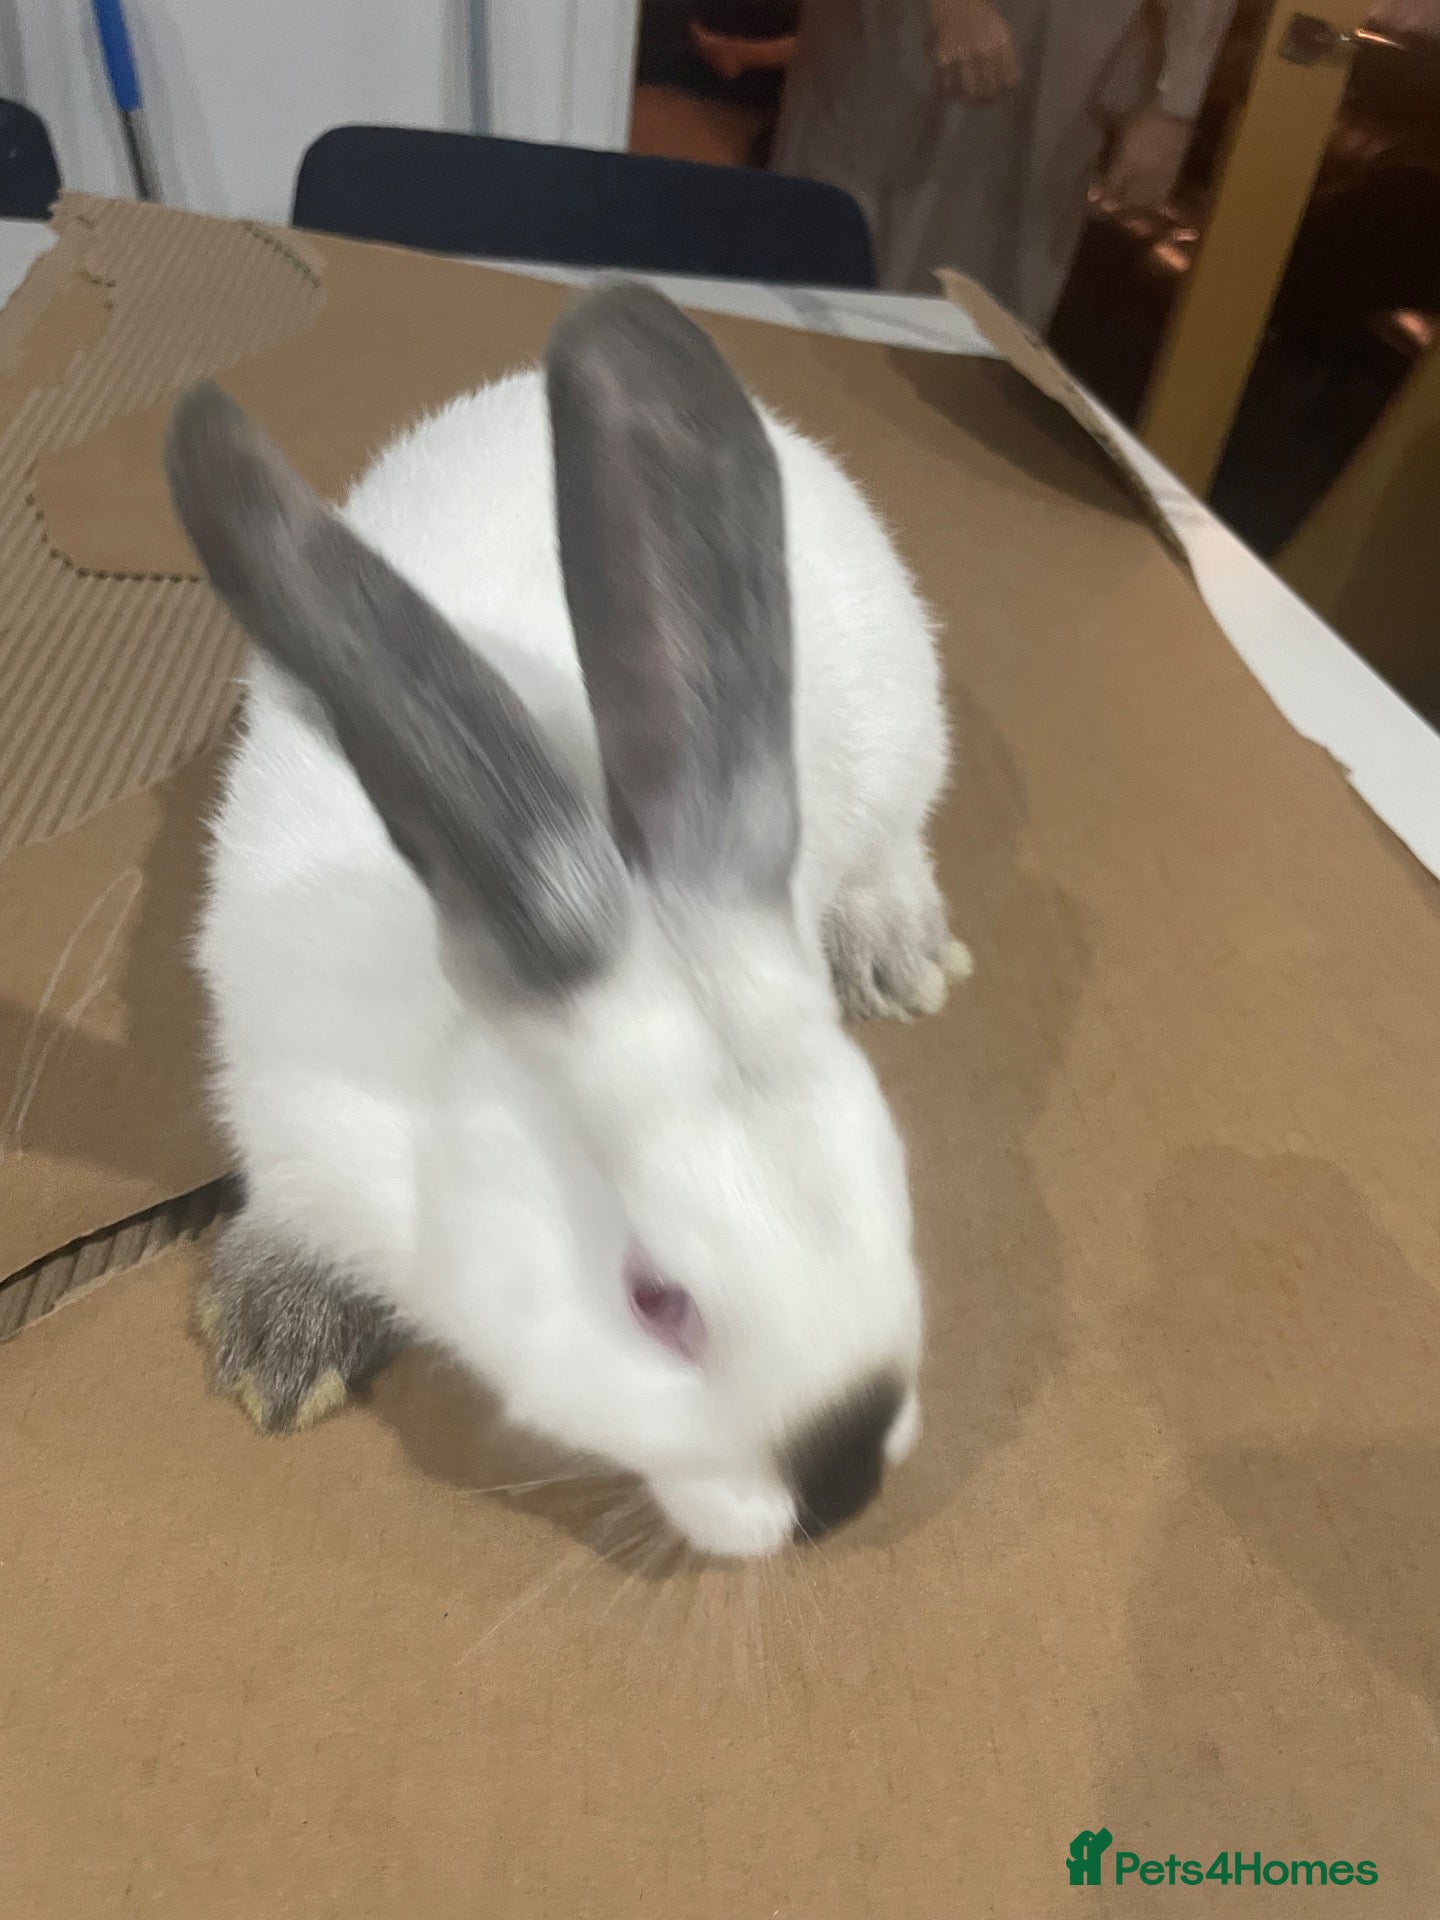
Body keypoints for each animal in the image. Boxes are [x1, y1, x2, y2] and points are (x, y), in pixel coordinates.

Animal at [165, 282, 969, 1559]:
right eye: (656, 1300)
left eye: (892, 1175)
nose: (845, 1484)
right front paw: (278, 1336)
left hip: (898, 738)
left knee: (894, 842)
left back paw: (896, 952)